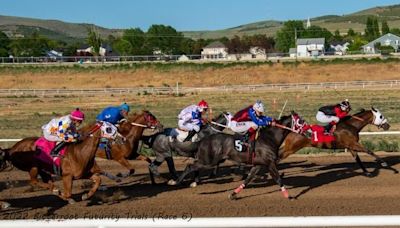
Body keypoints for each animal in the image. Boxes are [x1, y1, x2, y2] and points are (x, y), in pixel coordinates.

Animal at [174, 112, 304, 200]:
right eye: (301, 121)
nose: (308, 130)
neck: (269, 138)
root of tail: (203, 140)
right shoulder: (270, 163)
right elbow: (278, 179)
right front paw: (289, 196)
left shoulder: (258, 164)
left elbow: (248, 179)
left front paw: (233, 194)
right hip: (207, 161)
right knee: (190, 166)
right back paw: (176, 181)